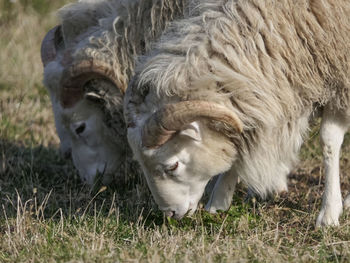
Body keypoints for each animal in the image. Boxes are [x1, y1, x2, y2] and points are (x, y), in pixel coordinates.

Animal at [124, 0, 350, 227]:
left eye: (172, 166)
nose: (170, 214)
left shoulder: (340, 80)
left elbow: (328, 142)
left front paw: (328, 214)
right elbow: (236, 143)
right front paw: (218, 202)